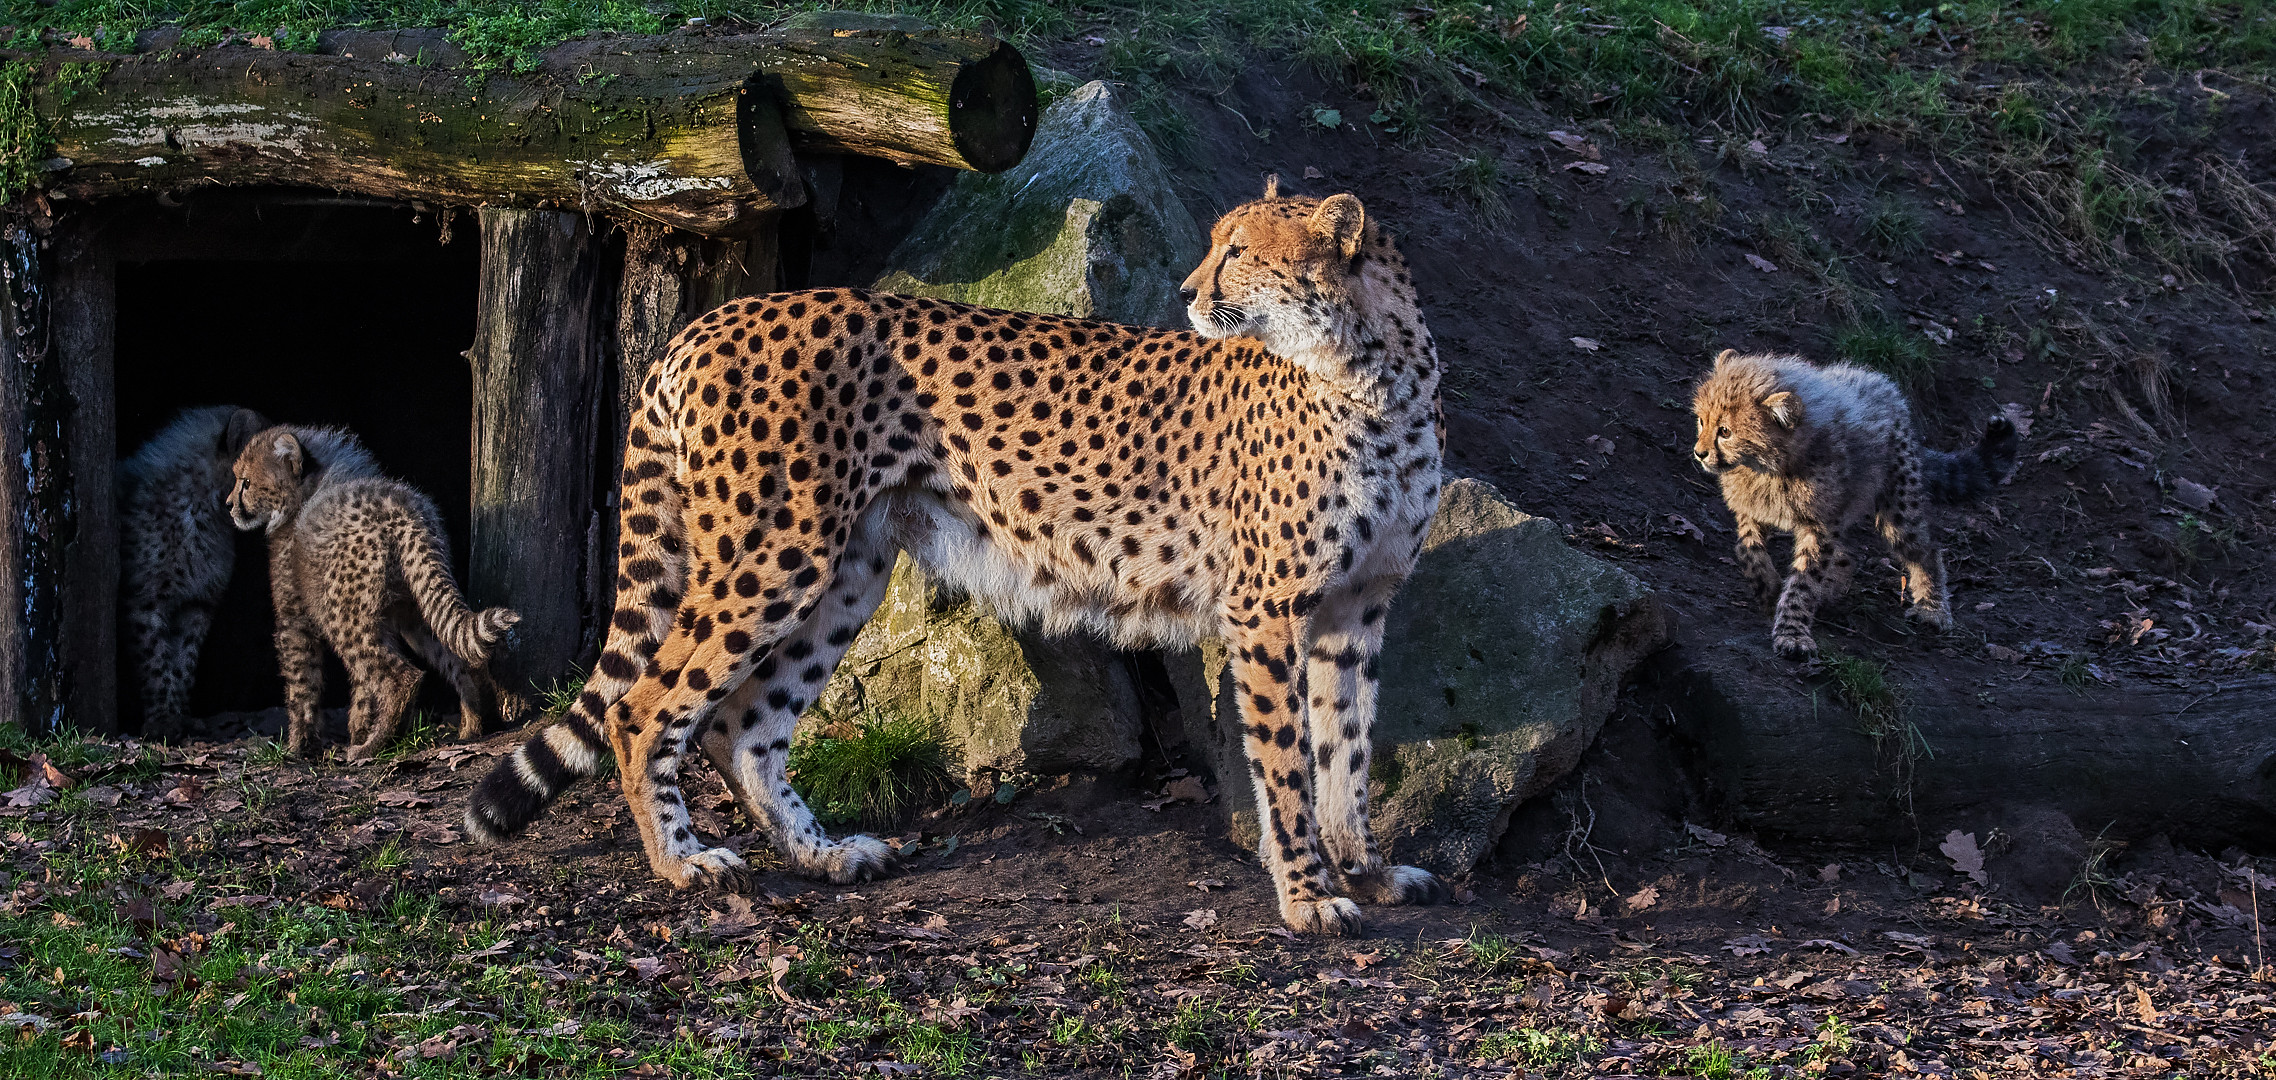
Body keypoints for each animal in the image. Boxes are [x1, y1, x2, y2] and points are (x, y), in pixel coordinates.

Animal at [471, 179, 1447, 936]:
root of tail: (716, 316)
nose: (1188, 290)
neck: (1371, 373)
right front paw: (1310, 897)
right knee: (644, 708)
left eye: (1239, 250)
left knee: (742, 723)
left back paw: (824, 856)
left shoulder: (1359, 607)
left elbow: (1346, 752)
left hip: (845, 572)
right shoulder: (1269, 608)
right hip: (774, 555)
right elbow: (1288, 766)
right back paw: (683, 863)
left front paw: (1365, 872)